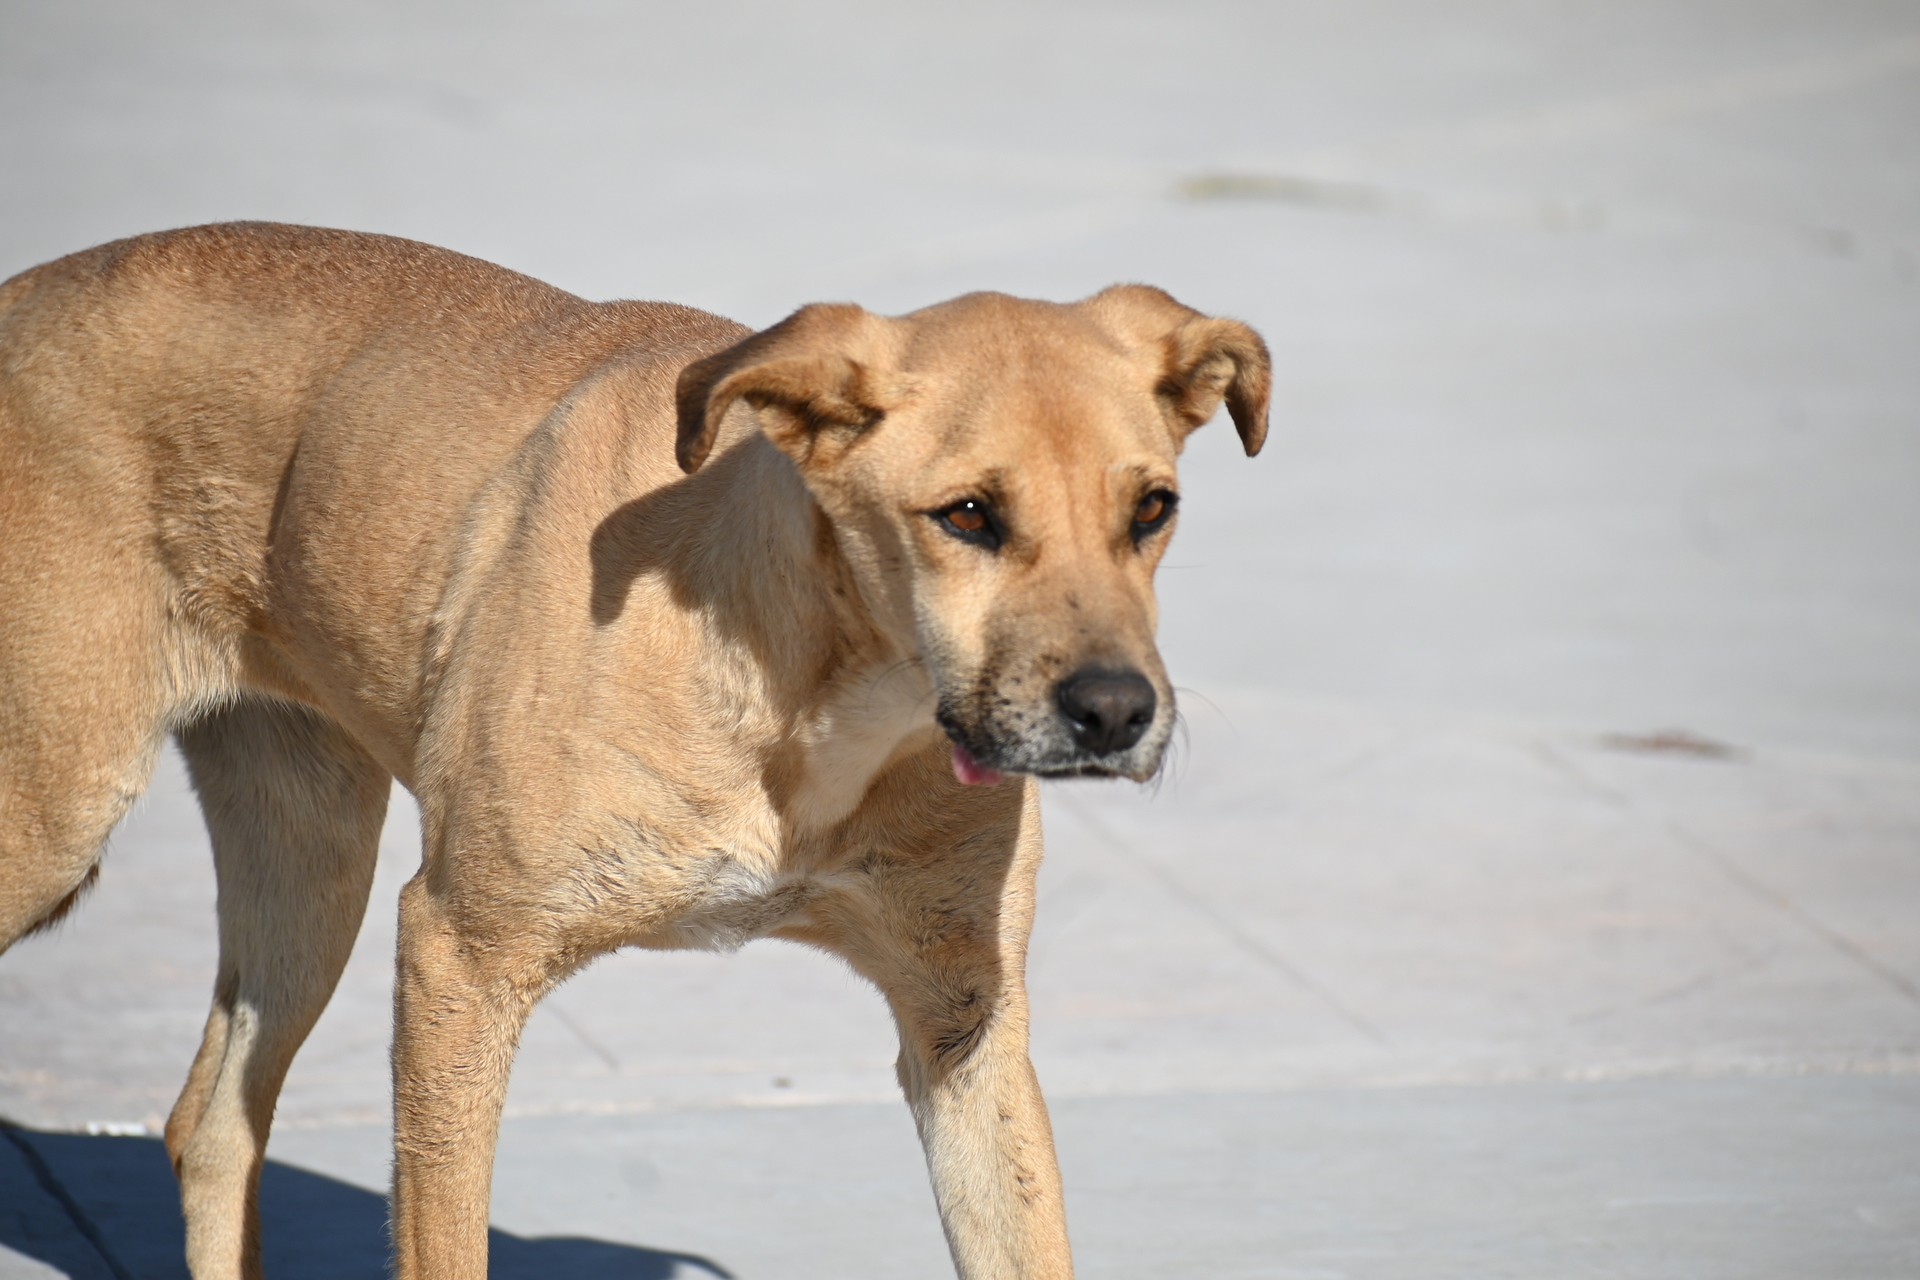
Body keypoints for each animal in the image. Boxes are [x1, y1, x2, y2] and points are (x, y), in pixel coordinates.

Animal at [3, 225, 1274, 1274]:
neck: (810, 695)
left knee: (210, 1121)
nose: (1114, 712)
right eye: (967, 515)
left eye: (1151, 508)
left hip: (310, 861)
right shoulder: (461, 956)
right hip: (53, 821)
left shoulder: (964, 1021)